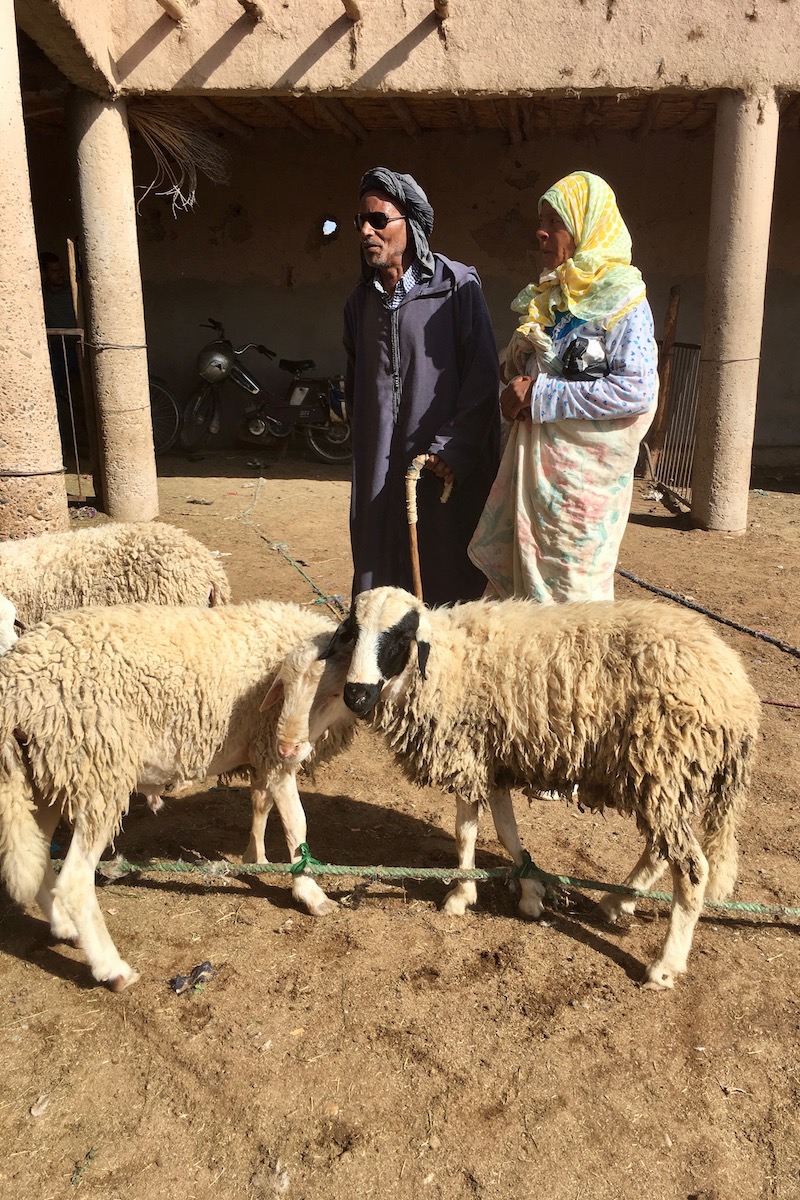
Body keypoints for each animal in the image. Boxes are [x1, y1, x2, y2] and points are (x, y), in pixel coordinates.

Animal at [0, 604, 352, 988]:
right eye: (286, 690)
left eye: (332, 694)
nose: (288, 747)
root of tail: (18, 680)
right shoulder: (270, 752)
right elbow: (296, 823)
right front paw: (309, 892)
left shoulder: (261, 753)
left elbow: (261, 804)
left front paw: (255, 857)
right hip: (97, 767)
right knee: (75, 882)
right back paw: (112, 969)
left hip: (45, 773)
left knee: (36, 856)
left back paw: (64, 927)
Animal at [328, 585, 762, 988]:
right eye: (353, 631)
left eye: (400, 636)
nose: (356, 695)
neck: (448, 663)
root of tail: (740, 694)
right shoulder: (495, 759)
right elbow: (505, 832)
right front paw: (531, 890)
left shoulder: (468, 754)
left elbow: (464, 833)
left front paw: (460, 896)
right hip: (659, 780)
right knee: (660, 851)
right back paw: (616, 901)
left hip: (664, 765)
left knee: (692, 870)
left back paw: (665, 966)